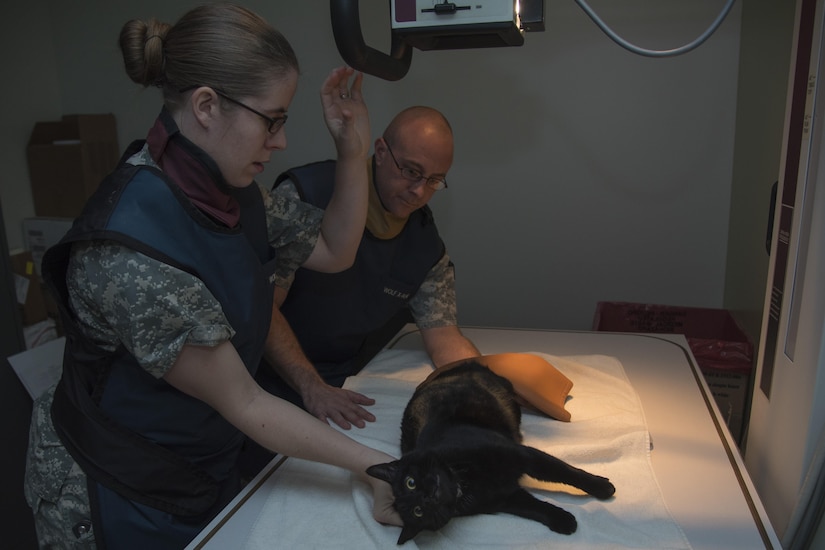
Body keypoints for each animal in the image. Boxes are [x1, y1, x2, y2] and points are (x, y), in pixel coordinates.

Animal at [366, 360, 612, 544]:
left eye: (410, 482)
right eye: (418, 511)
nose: (427, 496)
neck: (467, 481)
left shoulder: (524, 455)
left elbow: (565, 472)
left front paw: (602, 487)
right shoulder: (505, 499)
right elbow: (534, 508)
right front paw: (563, 520)